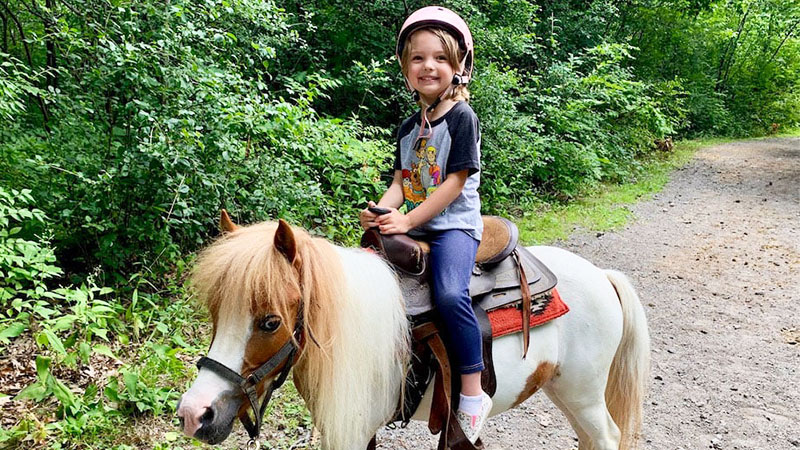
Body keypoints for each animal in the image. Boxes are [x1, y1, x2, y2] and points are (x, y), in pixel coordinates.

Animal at [177, 216, 648, 448]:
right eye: (215, 311)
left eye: (271, 321)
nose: (194, 414)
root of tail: (603, 276)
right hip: (563, 389)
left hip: (584, 393)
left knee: (607, 437)